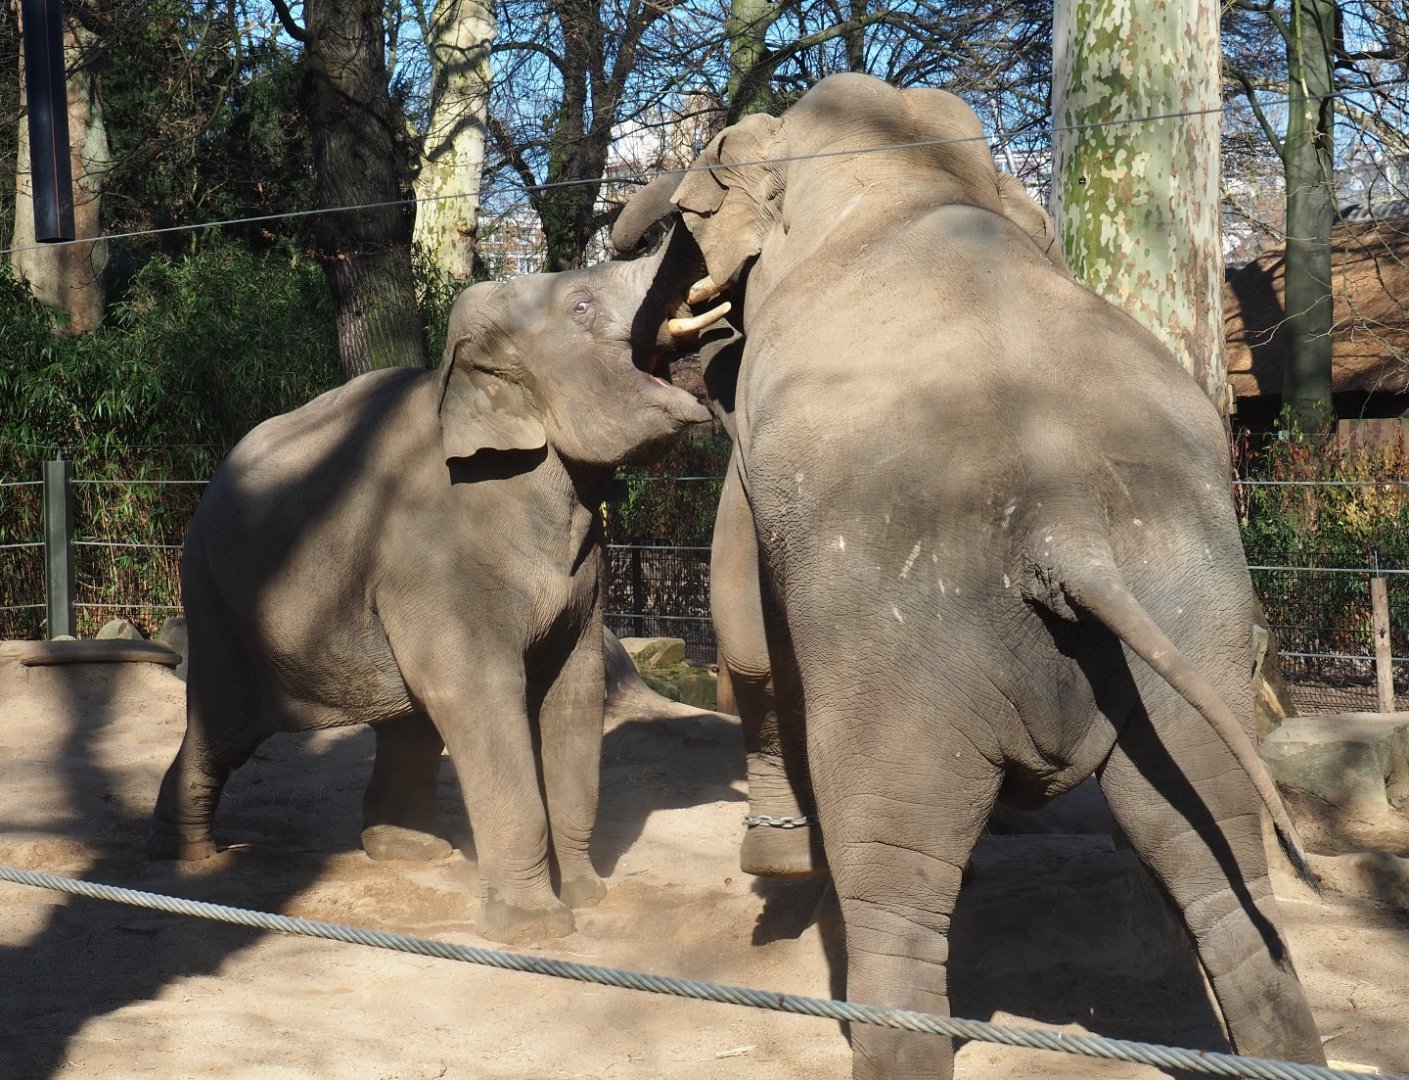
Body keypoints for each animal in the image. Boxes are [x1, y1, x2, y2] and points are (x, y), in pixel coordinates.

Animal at [147, 232, 719, 945]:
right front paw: (535, 930)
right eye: (582, 305)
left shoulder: (584, 575)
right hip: (215, 595)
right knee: (225, 724)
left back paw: (411, 852)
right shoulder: (434, 553)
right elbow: (479, 691)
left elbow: (574, 691)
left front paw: (588, 898)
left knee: (407, 717)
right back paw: (187, 859)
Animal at [612, 73, 1325, 1078]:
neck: (903, 173)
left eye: (709, 169)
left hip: (902, 649)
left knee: (895, 875)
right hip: (1191, 597)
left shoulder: (755, 453)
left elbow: (748, 627)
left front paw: (774, 865)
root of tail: (1067, 528)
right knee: (1215, 854)